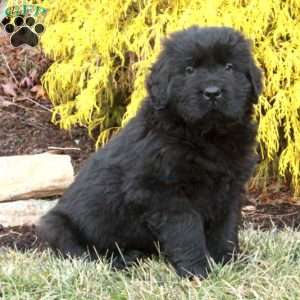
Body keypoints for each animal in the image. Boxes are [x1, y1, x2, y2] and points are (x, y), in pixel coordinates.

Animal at [37, 27, 262, 278]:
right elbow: (187, 230)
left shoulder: (230, 188)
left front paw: (227, 262)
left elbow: (226, 227)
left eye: (229, 67)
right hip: (56, 225)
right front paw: (197, 271)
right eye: (189, 70)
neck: (205, 136)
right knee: (83, 253)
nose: (212, 92)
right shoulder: (163, 192)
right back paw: (123, 259)